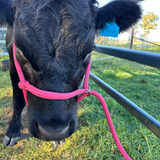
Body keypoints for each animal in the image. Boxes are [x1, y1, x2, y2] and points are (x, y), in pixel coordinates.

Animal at [0, 0, 141, 146]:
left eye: (88, 52)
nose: (53, 132)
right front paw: (12, 132)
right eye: (21, 50)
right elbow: (18, 100)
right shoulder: (12, 63)